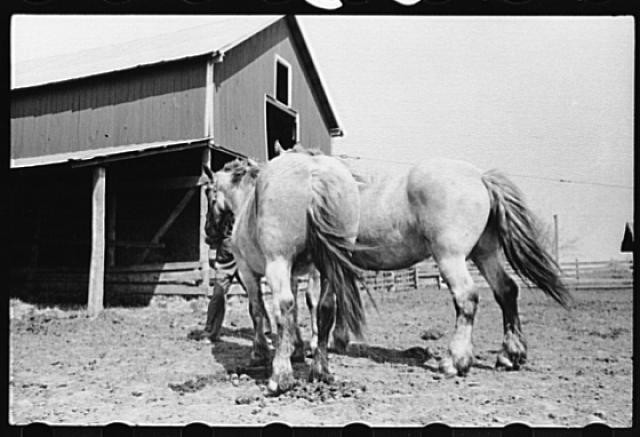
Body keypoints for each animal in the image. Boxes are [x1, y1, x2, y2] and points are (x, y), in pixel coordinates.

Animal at [202, 151, 365, 394]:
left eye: (208, 193)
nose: (208, 233)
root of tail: (314, 173)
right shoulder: (294, 274)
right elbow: (297, 311)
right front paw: (296, 348)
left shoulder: (248, 271)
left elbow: (257, 310)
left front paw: (259, 353)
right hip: (329, 266)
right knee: (325, 307)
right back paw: (320, 370)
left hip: (278, 264)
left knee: (283, 306)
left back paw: (280, 378)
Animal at [293, 148, 571, 377]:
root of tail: (480, 177)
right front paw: (337, 340)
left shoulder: (321, 265)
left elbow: (315, 300)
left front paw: (317, 343)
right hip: (484, 254)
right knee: (506, 290)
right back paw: (509, 355)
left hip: (450, 257)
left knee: (466, 297)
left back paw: (455, 361)